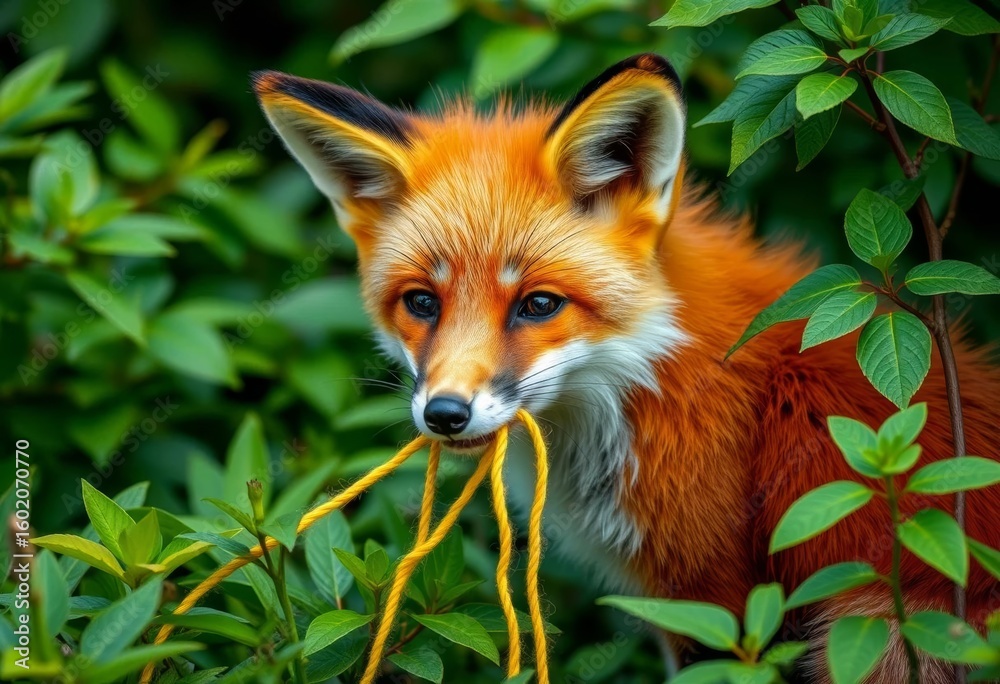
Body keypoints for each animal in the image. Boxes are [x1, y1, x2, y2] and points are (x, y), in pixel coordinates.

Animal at [252, 54, 1000, 682]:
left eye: (538, 304)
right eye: (421, 302)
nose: (445, 414)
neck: (654, 377)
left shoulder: (717, 599)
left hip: (876, 631)